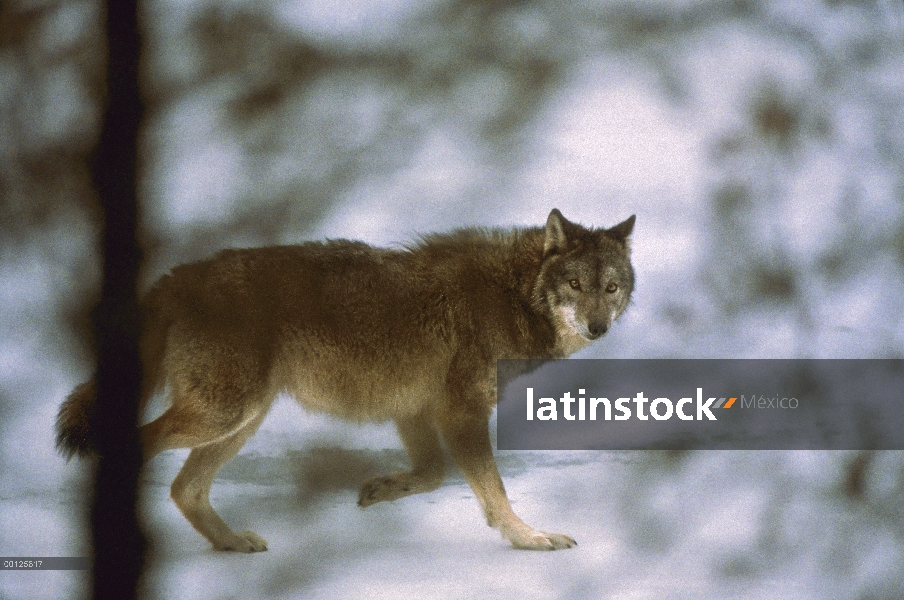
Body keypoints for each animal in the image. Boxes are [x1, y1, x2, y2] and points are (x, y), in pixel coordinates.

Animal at [56, 210, 636, 552]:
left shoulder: (416, 410)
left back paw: (231, 543)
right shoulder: (461, 413)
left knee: (184, 488)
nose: (597, 327)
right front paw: (531, 538)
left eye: (610, 287)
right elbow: (495, 494)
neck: (513, 295)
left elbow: (431, 475)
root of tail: (175, 278)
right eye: (574, 283)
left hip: (241, 421)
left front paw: (379, 492)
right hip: (224, 415)